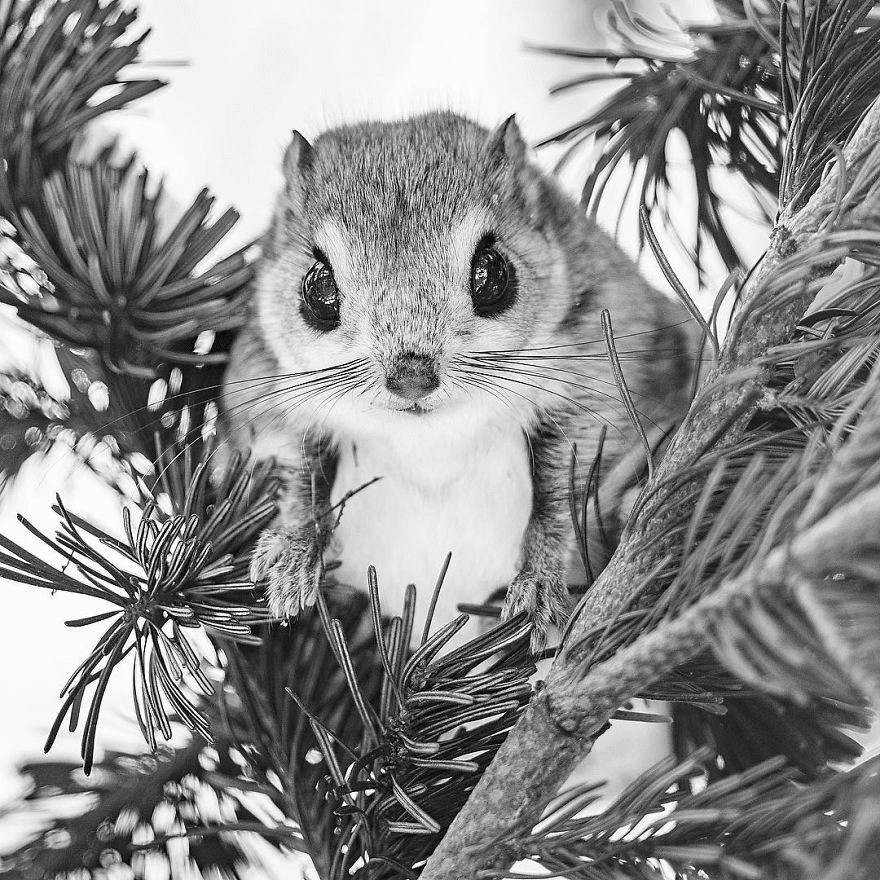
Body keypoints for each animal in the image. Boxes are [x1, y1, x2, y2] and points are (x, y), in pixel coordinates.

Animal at [222, 110, 696, 648]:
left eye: (492, 273)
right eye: (318, 288)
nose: (411, 377)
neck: (428, 442)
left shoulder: (601, 383)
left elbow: (561, 493)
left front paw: (537, 586)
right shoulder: (266, 399)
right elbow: (295, 477)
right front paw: (292, 550)